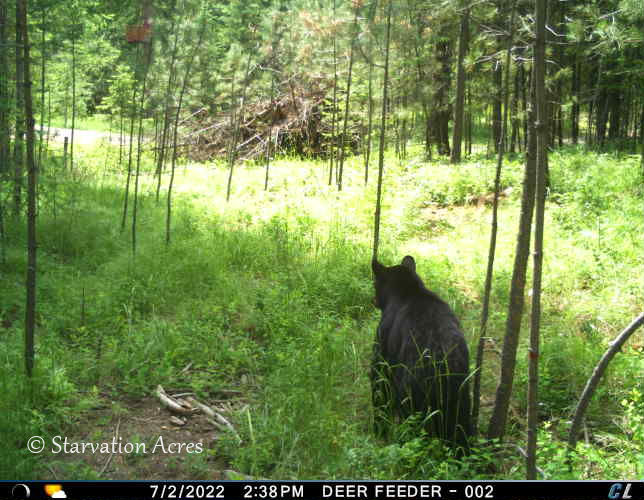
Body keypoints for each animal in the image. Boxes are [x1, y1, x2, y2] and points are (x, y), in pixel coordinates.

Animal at [370, 256, 470, 456]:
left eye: (375, 282)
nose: (373, 299)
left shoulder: (383, 345)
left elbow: (379, 386)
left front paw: (378, 431)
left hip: (411, 396)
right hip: (461, 401)